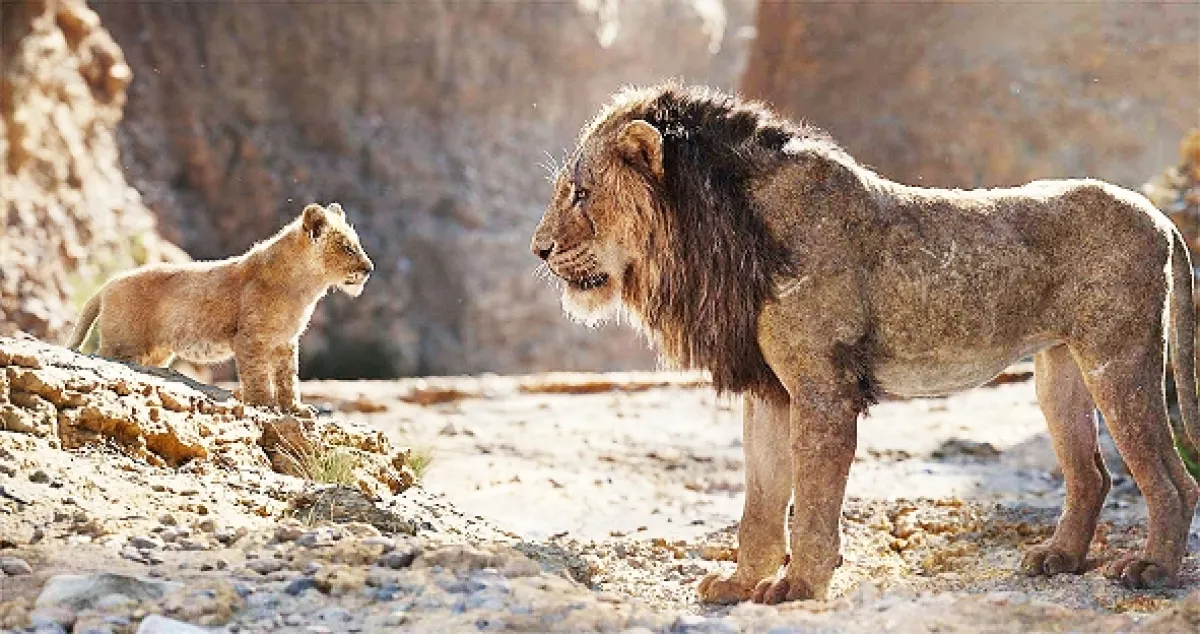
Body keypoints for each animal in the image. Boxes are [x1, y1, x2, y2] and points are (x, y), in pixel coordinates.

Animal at [67, 202, 374, 415]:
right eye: (348, 247)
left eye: (357, 244)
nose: (370, 269)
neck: (305, 287)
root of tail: (107, 285)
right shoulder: (250, 338)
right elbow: (257, 375)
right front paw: (263, 404)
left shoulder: (286, 342)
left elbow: (289, 378)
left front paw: (295, 409)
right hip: (122, 346)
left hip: (154, 353)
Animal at [531, 84, 1200, 604]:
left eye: (582, 194)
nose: (538, 249)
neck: (722, 230)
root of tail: (1158, 214)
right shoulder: (770, 390)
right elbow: (760, 500)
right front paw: (740, 584)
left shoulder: (823, 387)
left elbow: (812, 498)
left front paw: (798, 587)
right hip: (1059, 369)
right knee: (1093, 474)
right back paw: (1057, 559)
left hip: (1118, 359)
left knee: (1171, 479)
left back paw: (1151, 570)